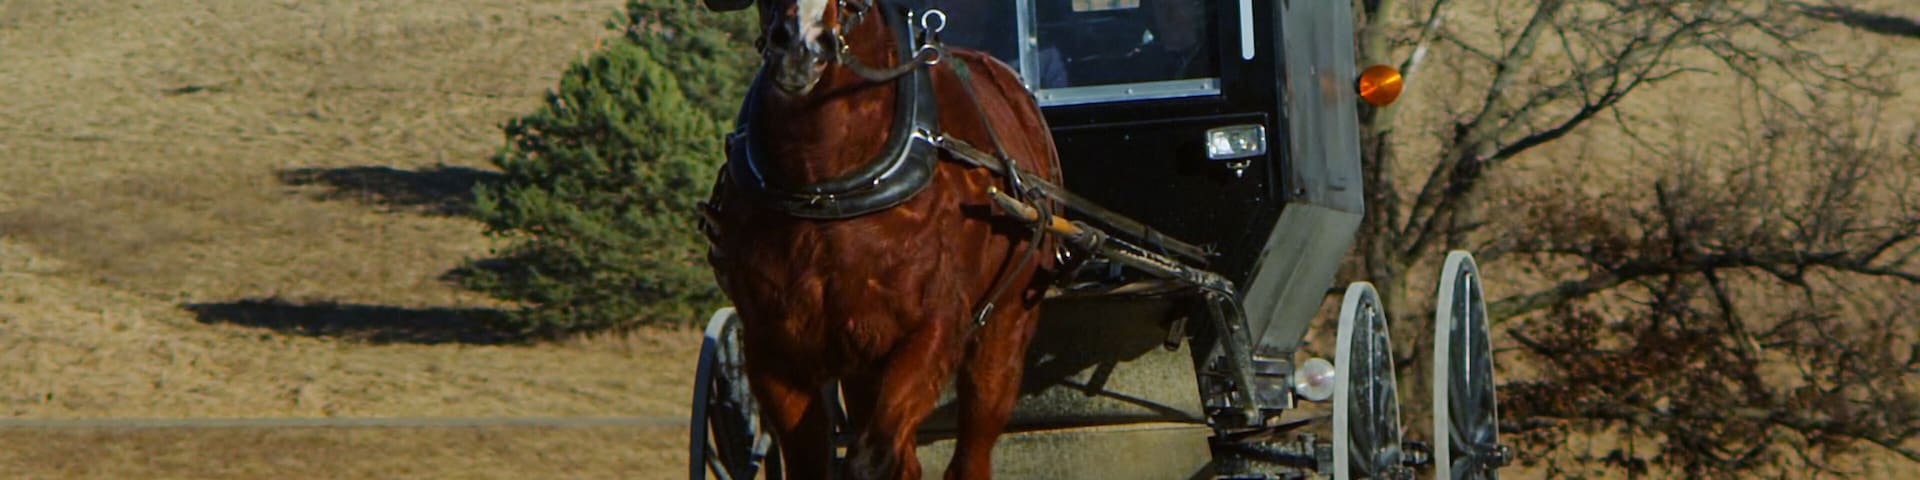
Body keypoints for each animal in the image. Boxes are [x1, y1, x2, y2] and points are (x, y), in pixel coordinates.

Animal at [698, 0, 1064, 478]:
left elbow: (873, 457)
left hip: (1006, 327)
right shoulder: (775, 350)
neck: (825, 186)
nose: (801, 44)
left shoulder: (932, 330)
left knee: (971, 448)